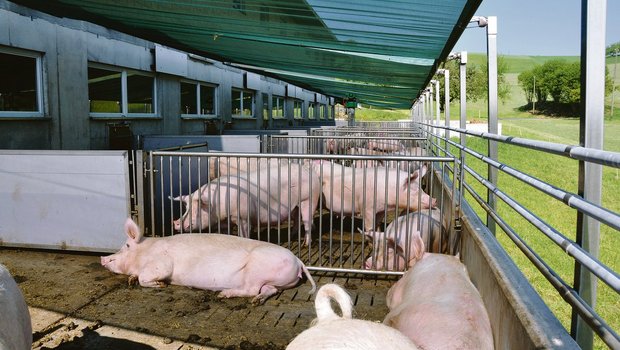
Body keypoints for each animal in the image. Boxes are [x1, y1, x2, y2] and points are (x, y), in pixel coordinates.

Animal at [101, 217, 318, 304]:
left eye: (126, 245)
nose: (103, 258)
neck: (146, 250)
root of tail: (298, 260)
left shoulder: (161, 263)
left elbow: (147, 277)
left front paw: (160, 285)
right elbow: (136, 277)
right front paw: (131, 280)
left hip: (256, 269)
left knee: (251, 289)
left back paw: (223, 294)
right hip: (272, 281)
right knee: (268, 290)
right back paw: (256, 302)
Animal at [173, 163, 320, 245]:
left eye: (198, 207)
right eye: (186, 207)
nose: (176, 222)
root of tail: (309, 171)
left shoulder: (243, 217)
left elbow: (244, 234)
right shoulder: (225, 222)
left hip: (309, 199)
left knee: (307, 221)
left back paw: (306, 244)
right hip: (296, 205)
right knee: (297, 218)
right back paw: (292, 235)